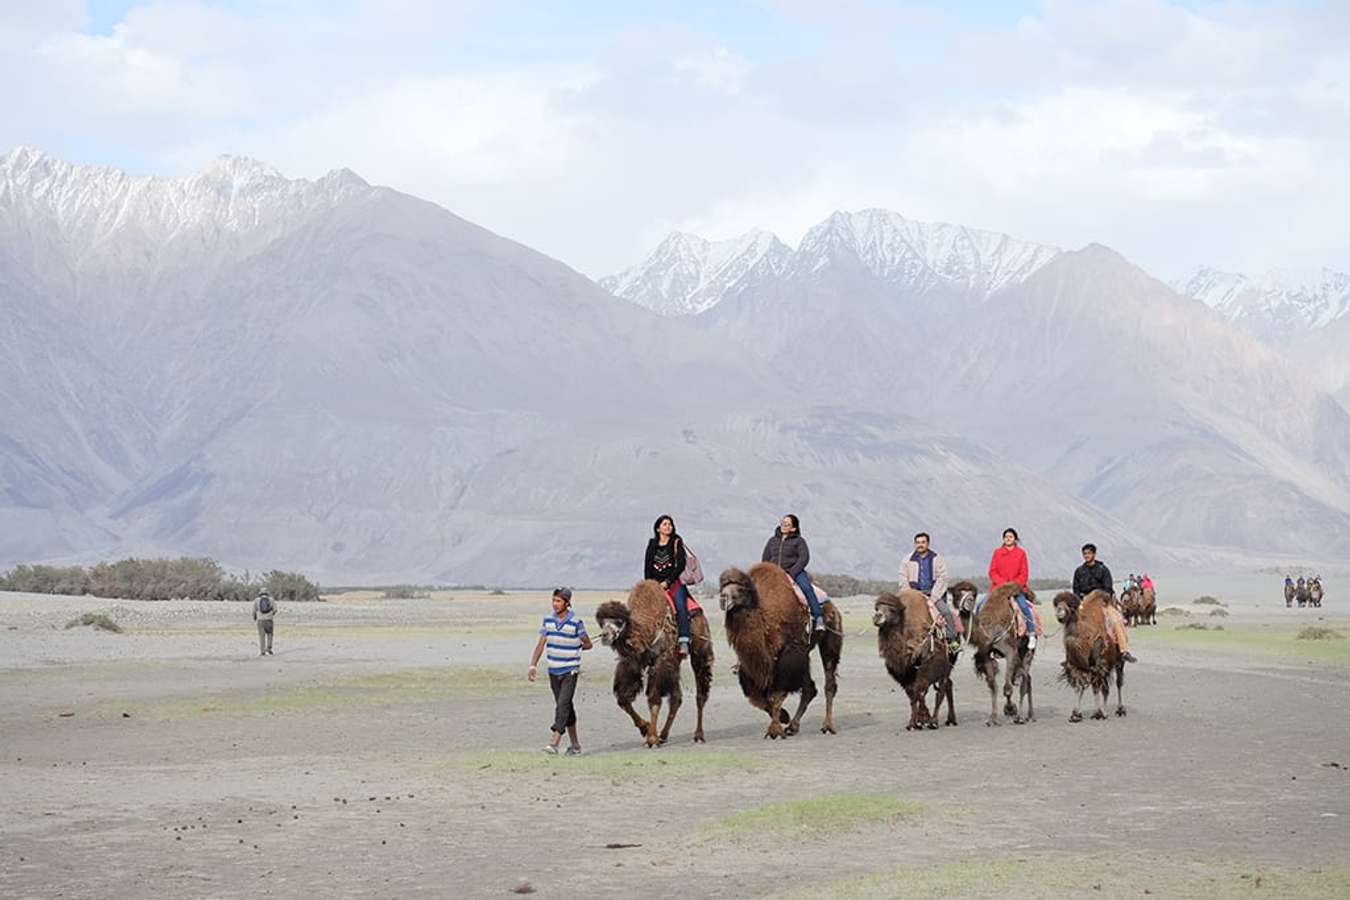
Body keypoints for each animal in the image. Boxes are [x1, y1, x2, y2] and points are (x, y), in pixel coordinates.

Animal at [596, 580, 712, 750]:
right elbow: (623, 699)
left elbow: (654, 699)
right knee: (676, 698)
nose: (605, 635)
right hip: (675, 662)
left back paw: (698, 735)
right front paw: (645, 728)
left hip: (699, 648)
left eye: (618, 622)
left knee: (700, 692)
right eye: (602, 622)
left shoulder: (661, 661)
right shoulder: (633, 661)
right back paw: (663, 735)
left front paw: (651, 739)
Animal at [723, 566, 837, 744]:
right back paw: (792, 726)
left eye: (741, 589)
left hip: (829, 637)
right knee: (809, 688)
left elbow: (775, 695)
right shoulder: (752, 668)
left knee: (828, 682)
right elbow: (758, 698)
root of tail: (830, 604)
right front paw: (784, 718)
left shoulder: (788, 658)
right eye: (722, 587)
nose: (724, 598)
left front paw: (774, 731)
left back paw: (828, 726)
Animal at [869, 591, 955, 734]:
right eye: (877, 608)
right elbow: (913, 694)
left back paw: (935, 722)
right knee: (945, 685)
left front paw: (924, 720)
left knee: (942, 689)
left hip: (948, 664)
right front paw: (915, 722)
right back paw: (948, 720)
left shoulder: (931, 661)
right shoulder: (905, 671)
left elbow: (920, 689)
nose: (877, 617)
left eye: (892, 610)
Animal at [955, 585, 1036, 723]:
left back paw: (1022, 716)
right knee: (1027, 678)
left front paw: (1010, 709)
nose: (965, 603)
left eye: (972, 595)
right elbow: (993, 686)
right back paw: (1029, 715)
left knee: (1024, 679)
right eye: (957, 593)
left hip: (1026, 650)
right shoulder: (986, 655)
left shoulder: (1010, 651)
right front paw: (993, 718)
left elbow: (1007, 688)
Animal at [1053, 588, 1128, 723]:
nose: (1059, 610)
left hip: (1118, 660)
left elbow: (1097, 688)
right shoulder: (1076, 665)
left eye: (1070, 606)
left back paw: (1119, 710)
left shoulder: (1099, 663)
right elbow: (1079, 687)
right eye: (1056, 604)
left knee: (1118, 682)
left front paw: (1098, 713)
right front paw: (1076, 714)